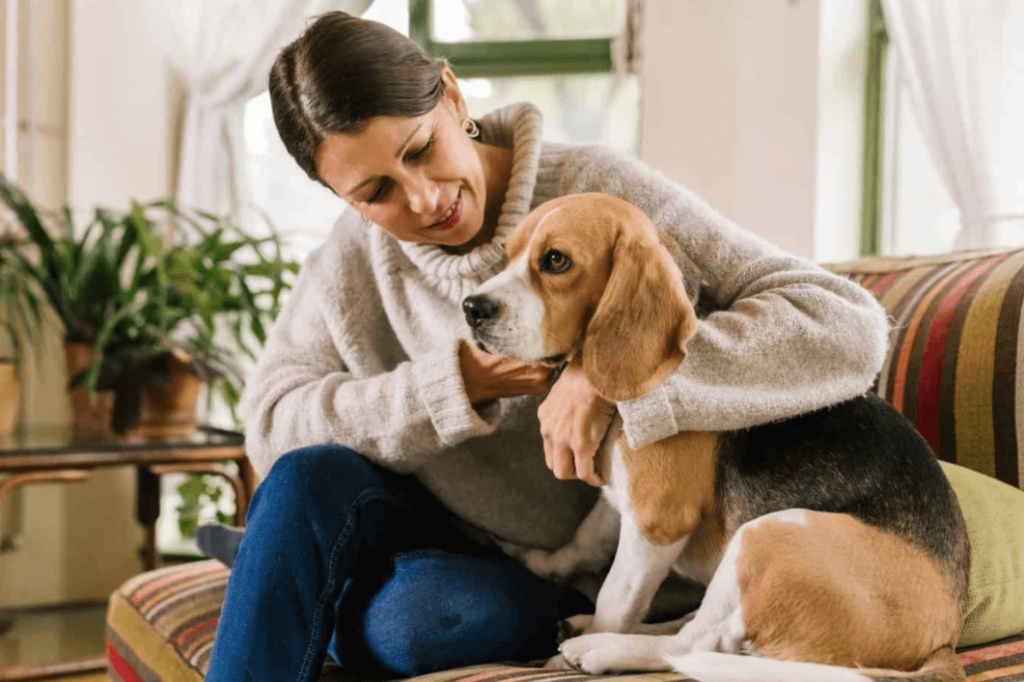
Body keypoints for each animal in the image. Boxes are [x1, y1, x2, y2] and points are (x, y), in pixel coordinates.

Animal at [462, 192, 966, 679]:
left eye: (556, 261)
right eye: (507, 254)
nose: (471, 308)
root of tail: (943, 641)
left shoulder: (657, 518)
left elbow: (615, 596)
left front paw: (564, 656)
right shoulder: (623, 496)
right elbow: (584, 542)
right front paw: (539, 562)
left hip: (770, 534)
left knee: (694, 644)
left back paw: (596, 647)